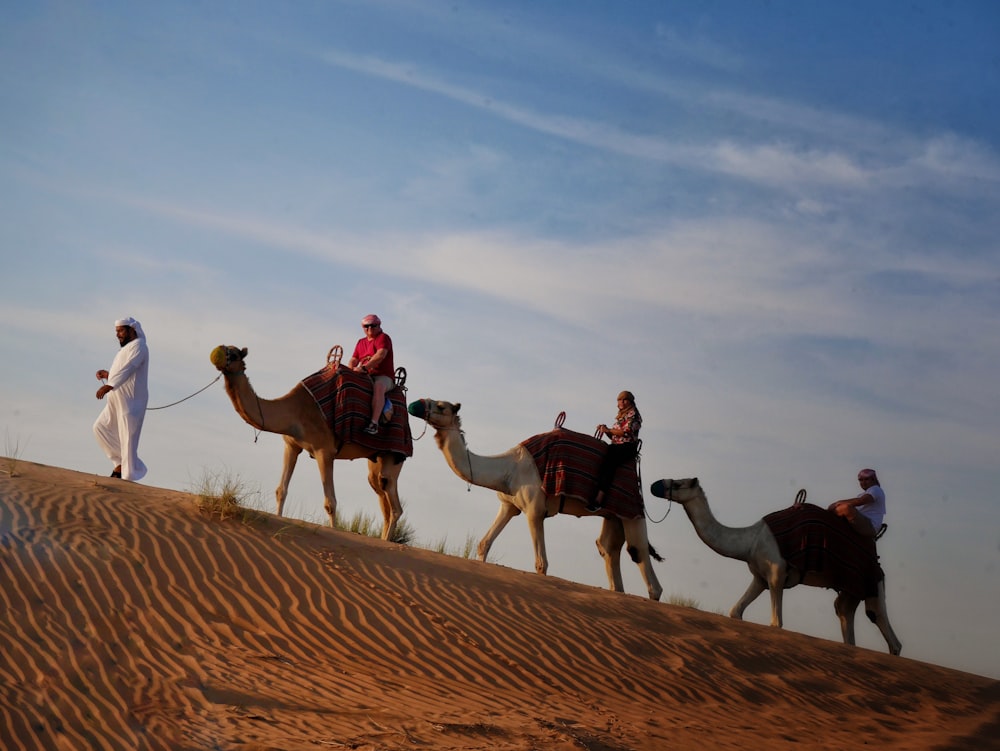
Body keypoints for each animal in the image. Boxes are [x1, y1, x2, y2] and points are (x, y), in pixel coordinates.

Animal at [209, 346, 404, 540]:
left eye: (234, 354)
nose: (216, 356)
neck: (296, 410)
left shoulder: (324, 450)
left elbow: (330, 502)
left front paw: (334, 532)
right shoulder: (291, 446)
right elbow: (281, 491)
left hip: (393, 455)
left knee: (394, 502)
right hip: (375, 457)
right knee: (382, 495)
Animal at [406, 400, 664, 600]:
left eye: (441, 406)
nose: (414, 404)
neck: (508, 469)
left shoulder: (534, 510)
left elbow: (541, 564)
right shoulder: (508, 505)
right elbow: (483, 544)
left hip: (632, 512)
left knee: (640, 553)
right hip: (612, 515)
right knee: (608, 548)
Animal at [648, 478, 900, 656]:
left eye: (678, 484)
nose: (654, 485)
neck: (750, 541)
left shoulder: (777, 573)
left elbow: (776, 624)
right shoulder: (759, 577)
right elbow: (735, 612)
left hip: (872, 585)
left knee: (882, 622)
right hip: (850, 589)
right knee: (844, 612)